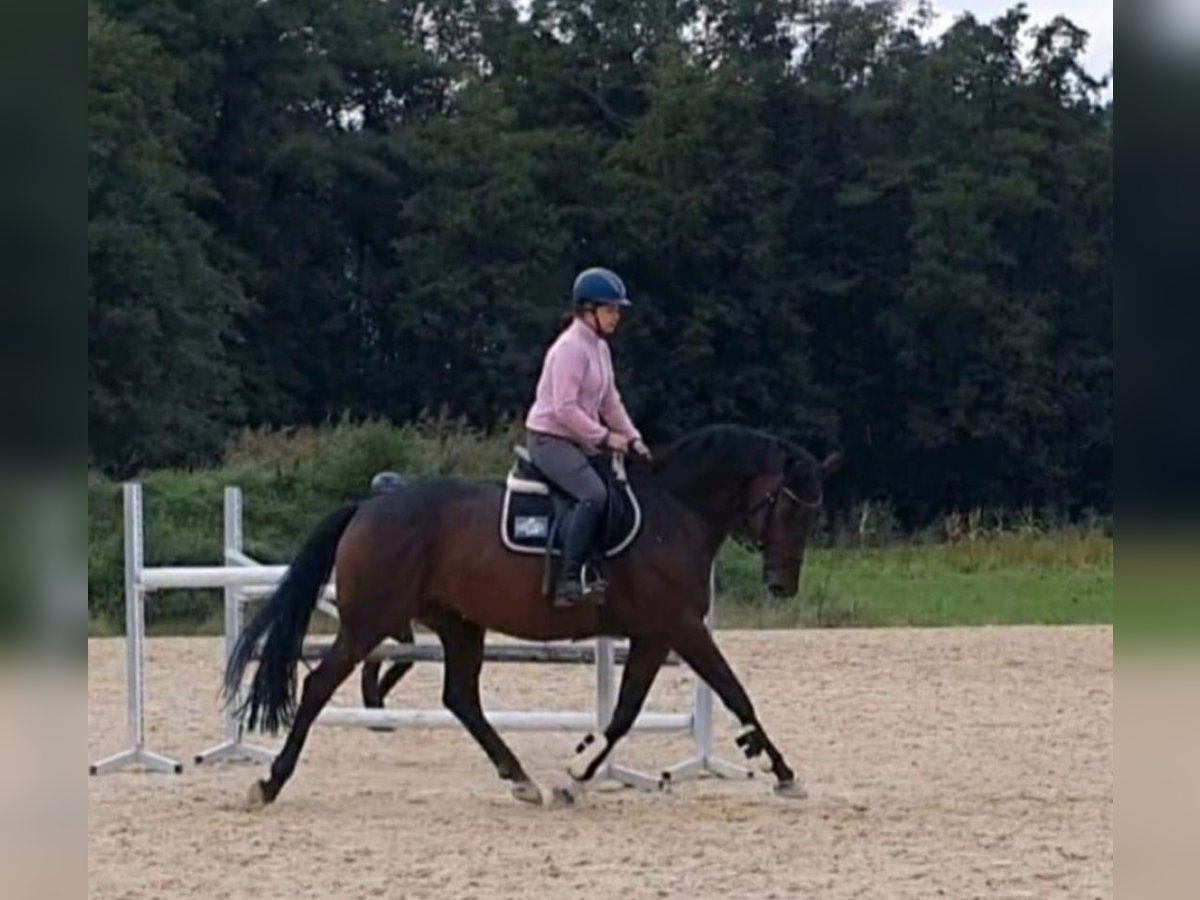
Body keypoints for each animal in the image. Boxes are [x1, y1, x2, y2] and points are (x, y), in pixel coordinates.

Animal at [225, 424, 844, 811]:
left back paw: (521, 780)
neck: (675, 511)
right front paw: (785, 775)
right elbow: (735, 694)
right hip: (370, 622)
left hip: (457, 623)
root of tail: (369, 507)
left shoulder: (653, 636)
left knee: (461, 698)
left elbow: (626, 712)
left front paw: (577, 777)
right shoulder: (680, 628)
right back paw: (269, 782)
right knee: (320, 686)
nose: (782, 586)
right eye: (789, 507)